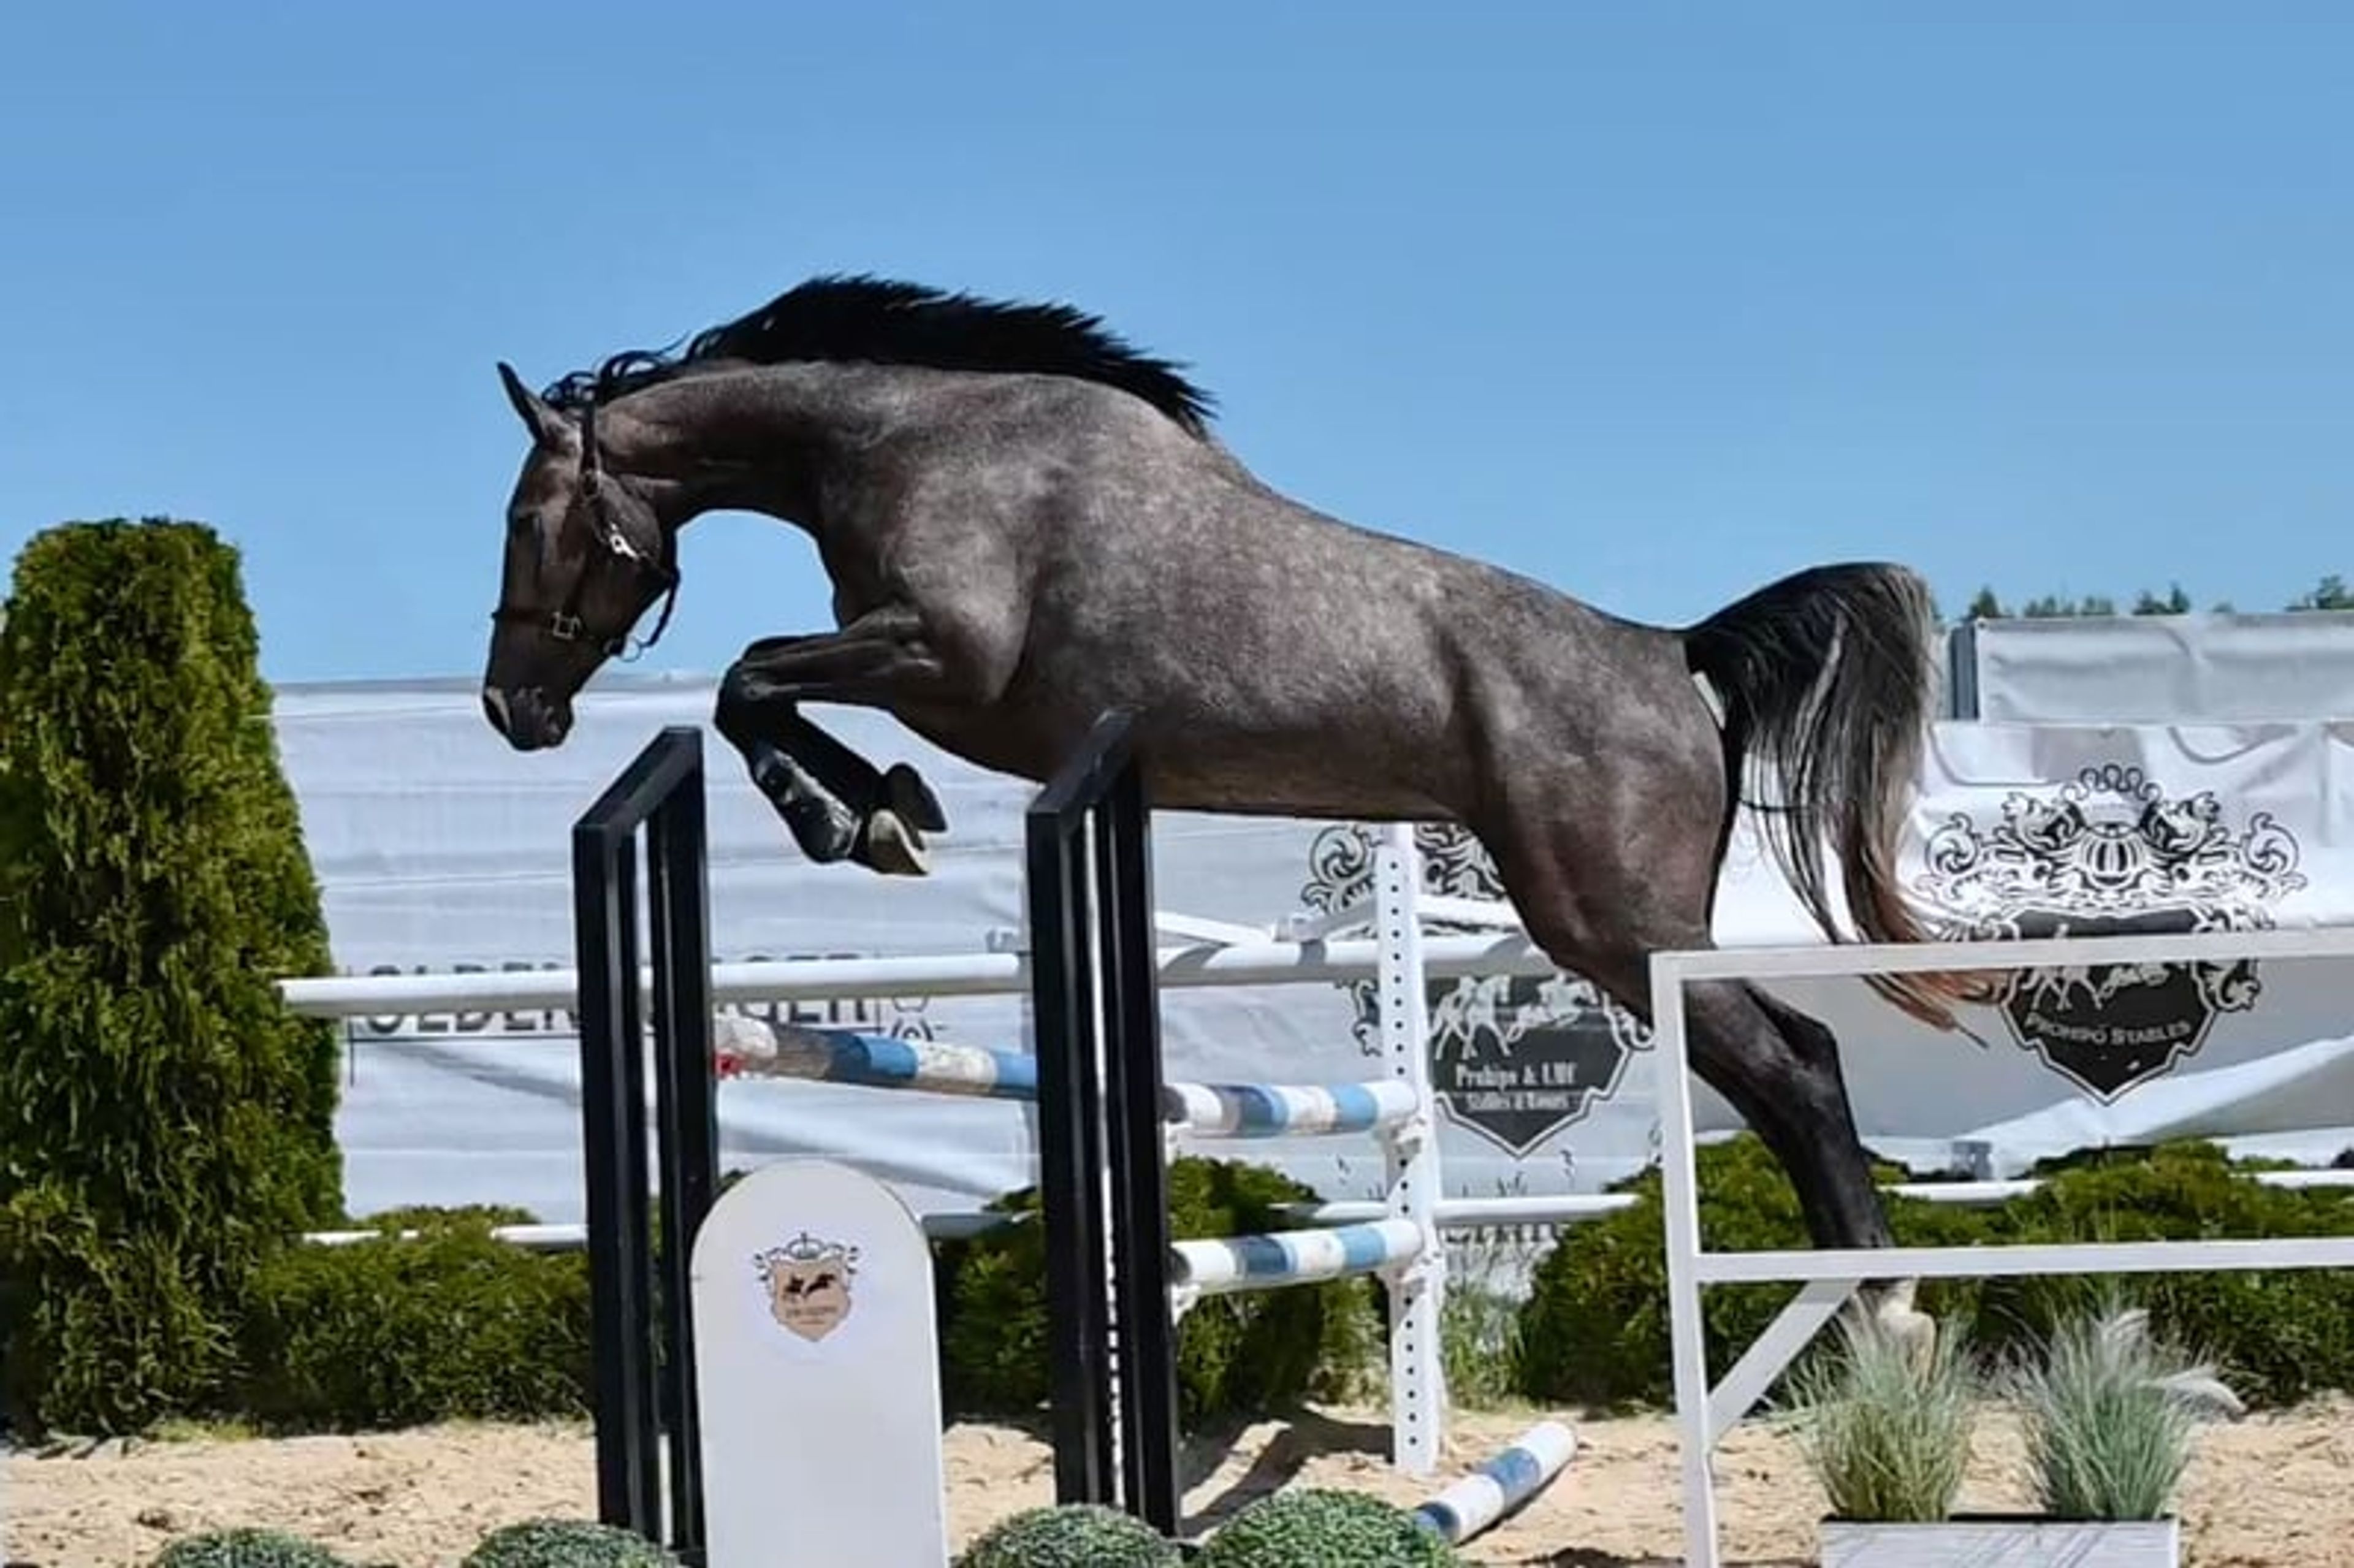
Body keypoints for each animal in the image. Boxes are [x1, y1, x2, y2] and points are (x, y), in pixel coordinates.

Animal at [480, 273, 1993, 1339]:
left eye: (526, 520)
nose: (513, 708)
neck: (905, 440)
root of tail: (1673, 650)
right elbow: (767, 687)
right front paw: (882, 812)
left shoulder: (940, 661)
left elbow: (753, 678)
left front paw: (857, 817)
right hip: (1619, 925)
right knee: (1788, 1059)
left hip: (1609, 919)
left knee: (1796, 1064)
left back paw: (1886, 1304)